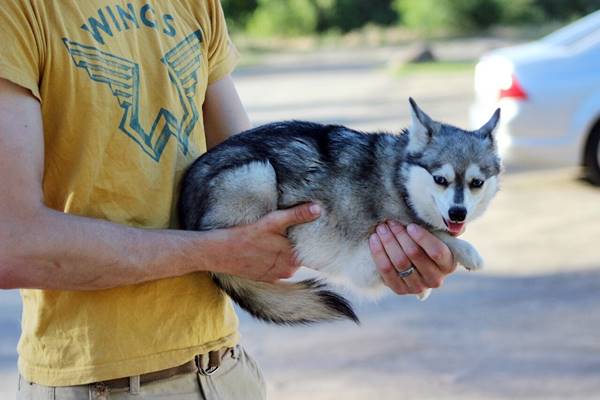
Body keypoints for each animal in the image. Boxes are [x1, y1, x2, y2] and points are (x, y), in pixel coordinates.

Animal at [179, 99, 502, 324]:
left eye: (476, 183)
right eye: (440, 180)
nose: (458, 213)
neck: (398, 178)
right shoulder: (368, 252)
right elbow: (433, 233)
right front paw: (467, 251)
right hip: (257, 174)